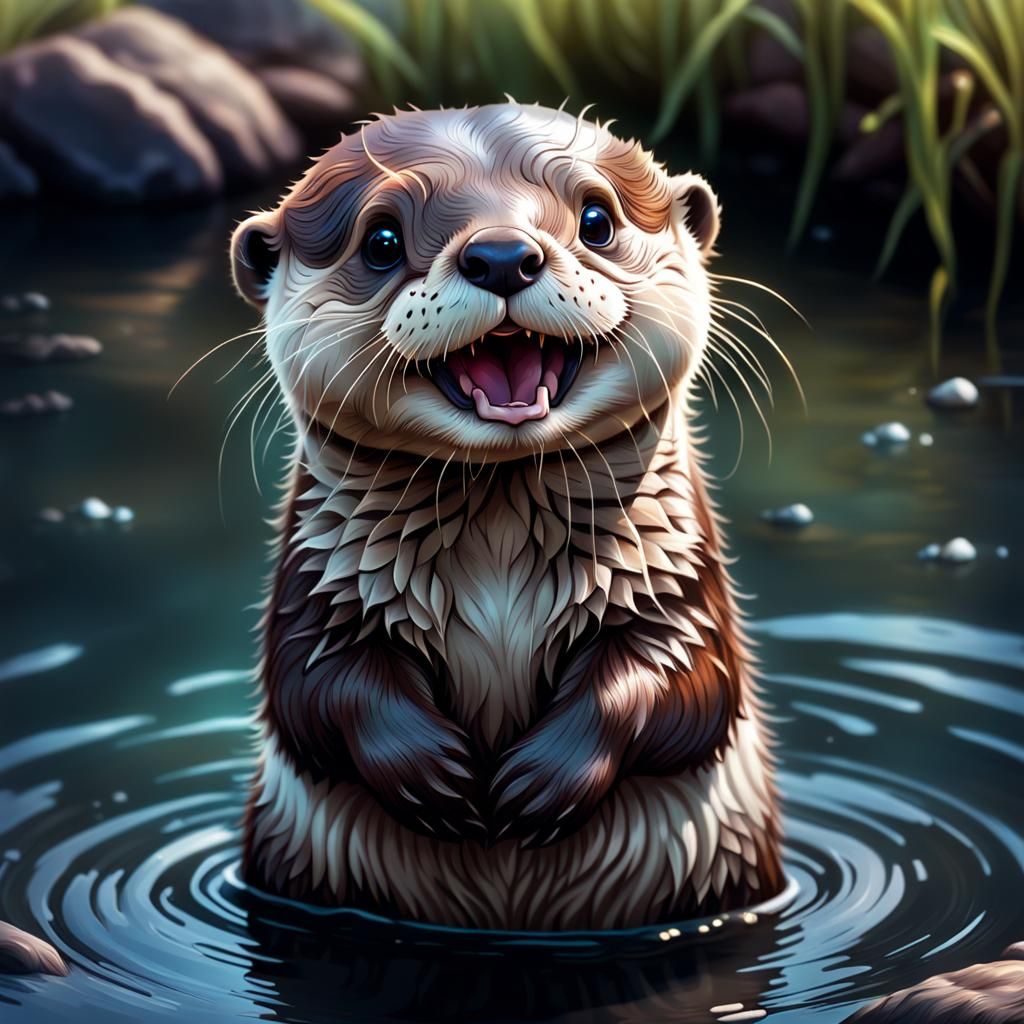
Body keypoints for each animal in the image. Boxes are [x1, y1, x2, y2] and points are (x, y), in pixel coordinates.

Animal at [232, 102, 784, 931]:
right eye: (381, 240)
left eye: (596, 219)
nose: (500, 255)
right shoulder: (321, 585)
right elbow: (316, 685)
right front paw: (432, 772)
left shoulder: (671, 576)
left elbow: (684, 677)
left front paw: (540, 781)